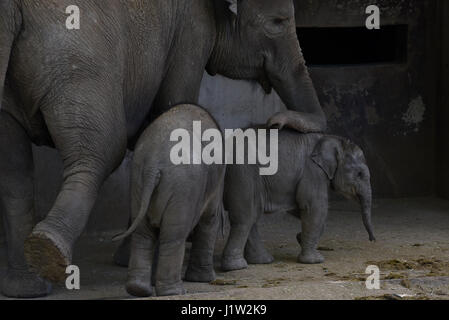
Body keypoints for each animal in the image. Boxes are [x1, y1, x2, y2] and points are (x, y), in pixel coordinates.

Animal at [112, 105, 224, 298]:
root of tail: (153, 164)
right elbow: (210, 219)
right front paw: (204, 279)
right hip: (181, 188)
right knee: (174, 236)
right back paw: (175, 291)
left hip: (138, 182)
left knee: (143, 235)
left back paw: (139, 289)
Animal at [221, 129, 374, 272]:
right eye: (359, 174)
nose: (372, 239)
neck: (332, 139)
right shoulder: (313, 171)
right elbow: (315, 207)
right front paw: (314, 261)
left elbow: (301, 209)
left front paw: (300, 238)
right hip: (242, 173)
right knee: (246, 218)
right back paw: (237, 267)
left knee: (252, 215)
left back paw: (262, 260)